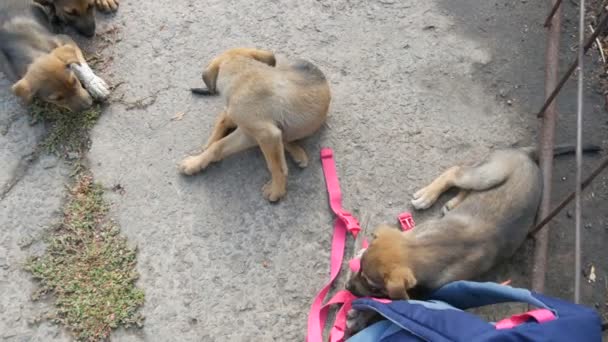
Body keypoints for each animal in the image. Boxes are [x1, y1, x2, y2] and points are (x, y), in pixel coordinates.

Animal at [179, 48, 330, 203]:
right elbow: (218, 146)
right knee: (225, 118)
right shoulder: (254, 133)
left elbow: (275, 166)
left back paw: (297, 152)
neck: (243, 75)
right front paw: (195, 163)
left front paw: (276, 190)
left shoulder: (261, 134)